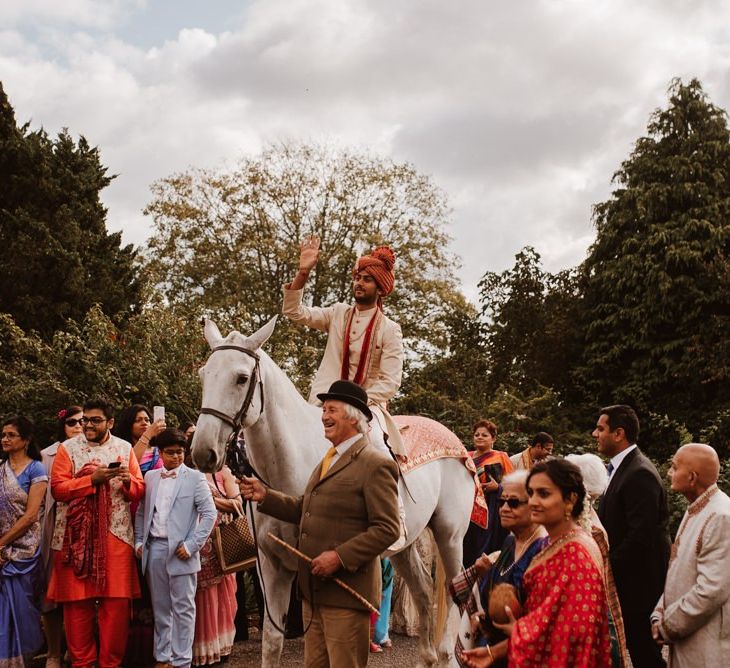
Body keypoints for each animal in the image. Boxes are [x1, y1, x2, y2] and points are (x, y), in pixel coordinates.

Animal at [188, 320, 472, 668]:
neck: (292, 464)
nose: (203, 452)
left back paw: (445, 653)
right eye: (204, 375)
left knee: (454, 588)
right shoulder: (271, 566)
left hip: (450, 534)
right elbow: (272, 642)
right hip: (404, 546)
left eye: (241, 378)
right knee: (423, 590)